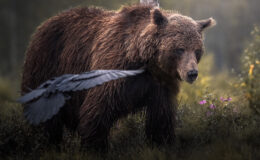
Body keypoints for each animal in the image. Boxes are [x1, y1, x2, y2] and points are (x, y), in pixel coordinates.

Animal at [20, 4, 215, 150]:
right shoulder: (112, 71)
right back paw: (44, 141)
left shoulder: (159, 86)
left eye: (197, 50)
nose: (192, 73)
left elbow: (161, 119)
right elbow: (97, 111)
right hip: (46, 65)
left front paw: (162, 143)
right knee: (44, 113)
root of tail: (43, 25)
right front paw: (94, 147)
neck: (143, 61)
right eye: (179, 49)